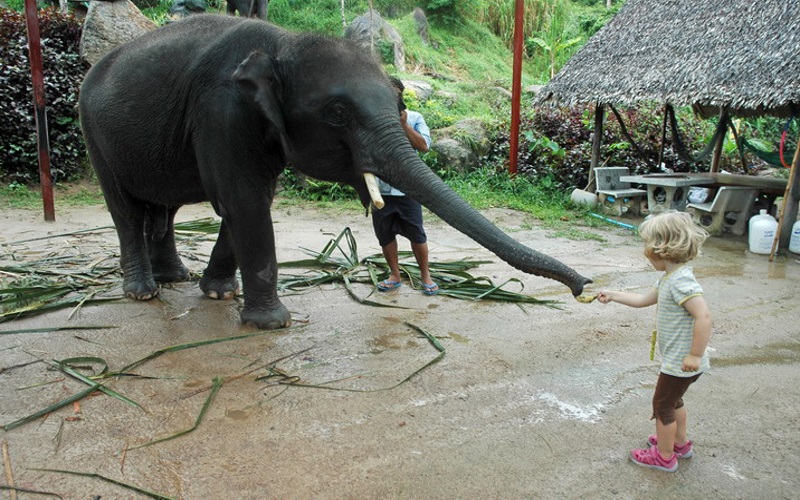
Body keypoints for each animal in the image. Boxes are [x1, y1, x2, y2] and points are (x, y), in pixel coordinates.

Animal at [81, 13, 592, 330]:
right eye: (338, 114)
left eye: (399, 100)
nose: (585, 288)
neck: (281, 41)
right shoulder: (221, 112)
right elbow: (243, 201)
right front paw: (273, 324)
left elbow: (251, 200)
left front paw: (220, 295)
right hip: (94, 133)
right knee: (125, 209)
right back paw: (143, 292)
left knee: (162, 208)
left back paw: (177, 279)